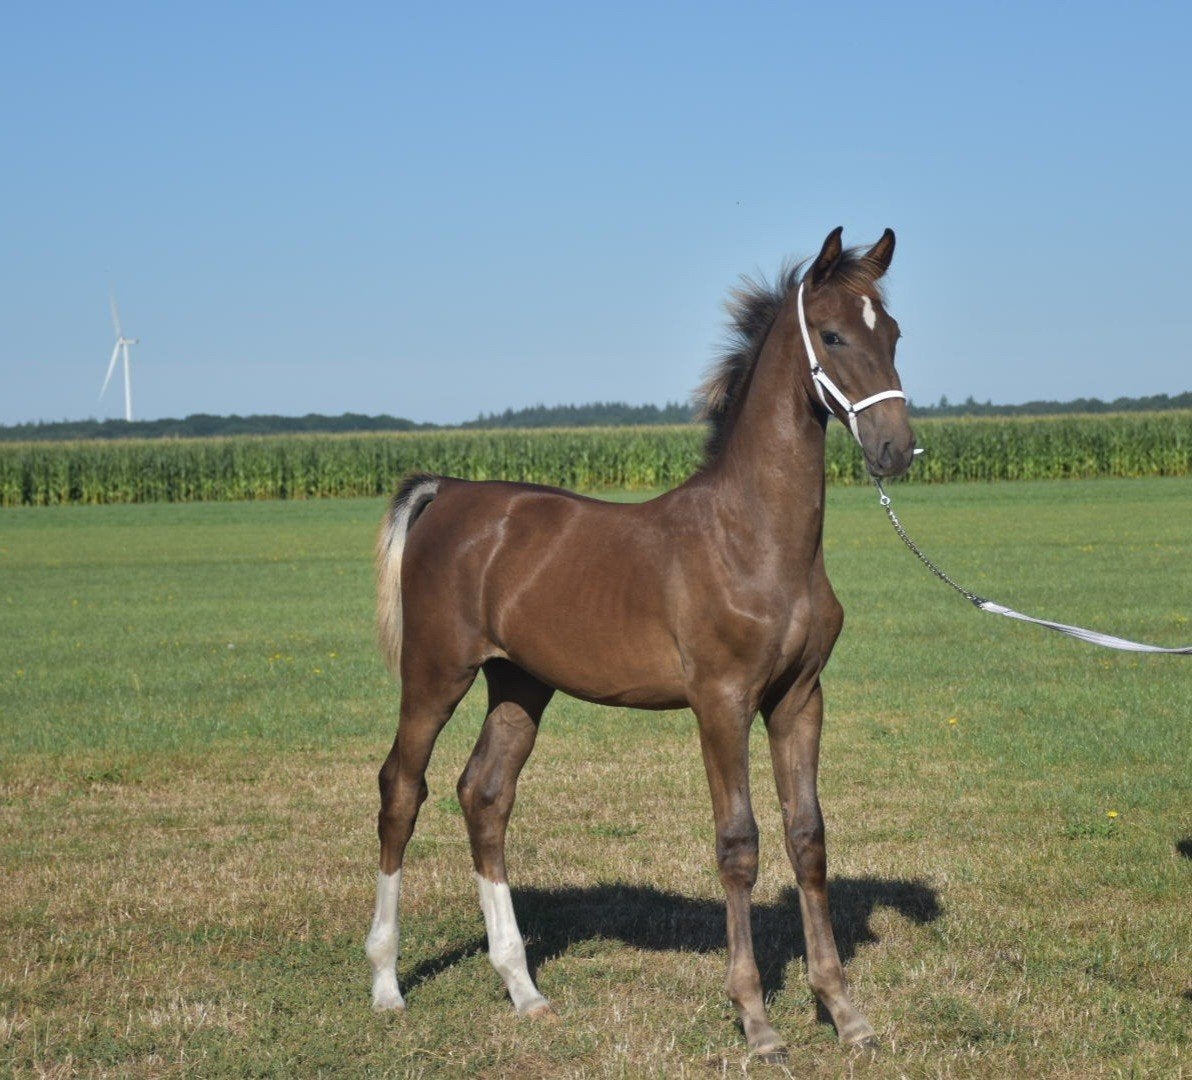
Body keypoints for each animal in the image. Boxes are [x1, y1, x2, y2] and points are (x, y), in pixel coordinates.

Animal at [365, 226, 916, 1060]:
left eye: (894, 334)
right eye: (831, 334)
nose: (896, 449)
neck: (754, 539)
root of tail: (450, 492)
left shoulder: (798, 700)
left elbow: (808, 838)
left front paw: (843, 1009)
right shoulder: (721, 702)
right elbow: (739, 844)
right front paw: (756, 1020)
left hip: (519, 684)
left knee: (484, 795)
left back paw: (524, 990)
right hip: (435, 673)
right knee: (403, 788)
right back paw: (387, 985)